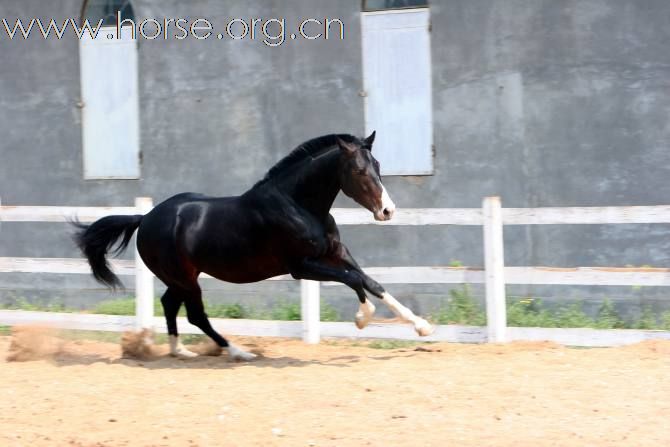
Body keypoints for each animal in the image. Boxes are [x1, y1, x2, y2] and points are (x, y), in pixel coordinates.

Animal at [72, 133, 430, 360]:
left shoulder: (334, 253)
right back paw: (238, 351)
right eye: (358, 170)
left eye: (378, 166)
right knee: (196, 315)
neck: (298, 204)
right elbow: (354, 280)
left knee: (170, 304)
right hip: (185, 278)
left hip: (183, 277)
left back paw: (180, 350)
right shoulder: (301, 266)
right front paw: (361, 319)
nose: (388, 211)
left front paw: (423, 327)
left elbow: (372, 282)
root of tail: (145, 217)